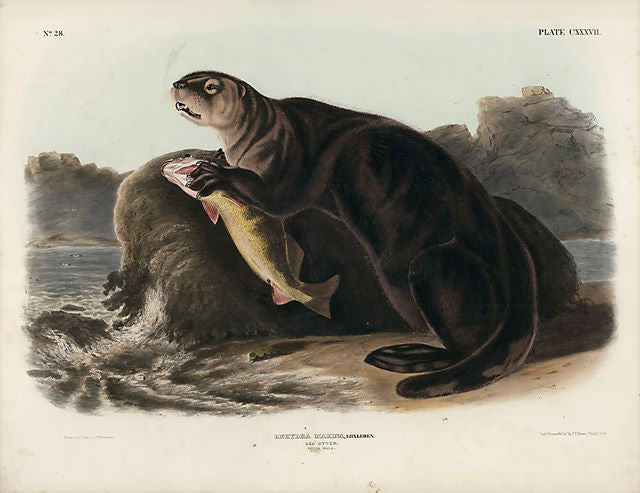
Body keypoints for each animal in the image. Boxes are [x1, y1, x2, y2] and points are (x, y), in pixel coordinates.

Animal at [170, 71, 538, 398]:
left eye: (211, 86)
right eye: (190, 76)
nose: (177, 84)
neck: (266, 134)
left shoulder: (293, 158)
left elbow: (281, 198)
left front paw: (215, 174)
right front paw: (215, 158)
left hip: (435, 265)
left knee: (462, 339)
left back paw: (408, 355)